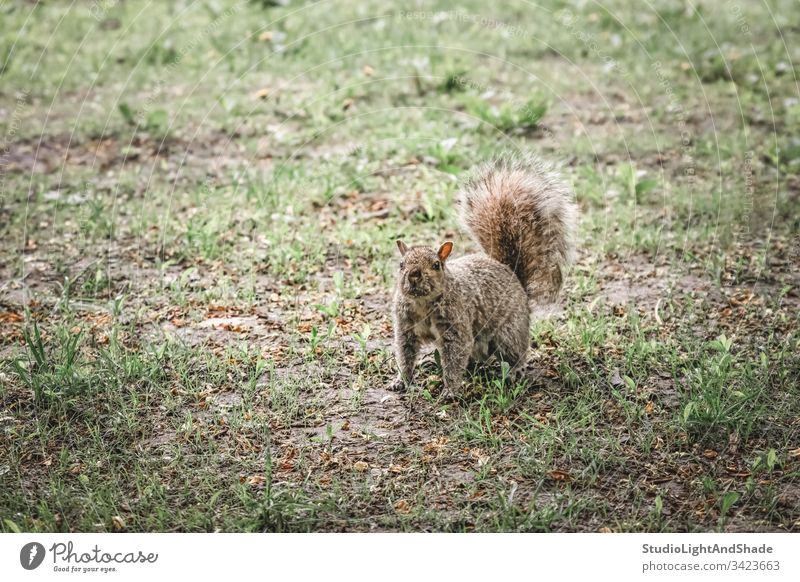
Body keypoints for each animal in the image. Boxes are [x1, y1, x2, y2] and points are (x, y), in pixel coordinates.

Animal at [390, 154, 580, 402]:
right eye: (401, 265)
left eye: (436, 265)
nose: (413, 275)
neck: (423, 303)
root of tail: (513, 276)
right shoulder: (406, 328)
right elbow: (406, 355)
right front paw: (401, 381)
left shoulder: (456, 327)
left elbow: (455, 358)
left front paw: (449, 391)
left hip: (508, 332)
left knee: (514, 353)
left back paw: (514, 372)